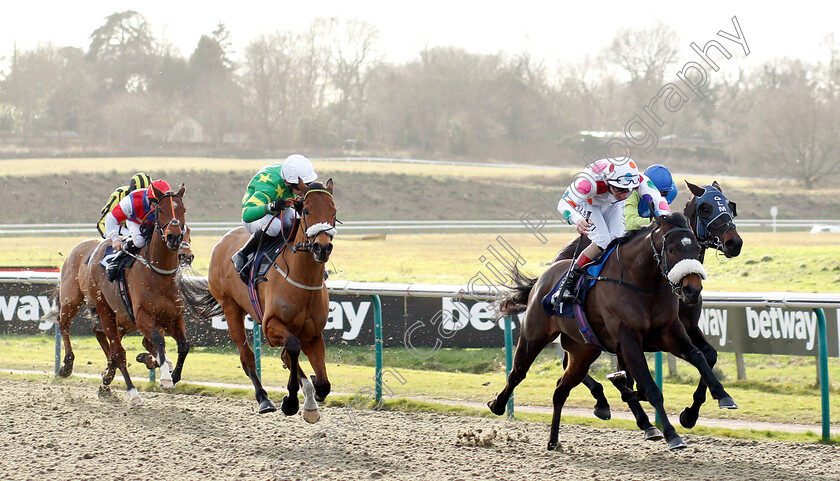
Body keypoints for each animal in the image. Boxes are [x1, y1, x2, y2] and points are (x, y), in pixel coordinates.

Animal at [55, 184, 189, 404]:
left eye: (183, 210)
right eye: (161, 210)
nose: (174, 237)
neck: (158, 275)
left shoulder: (174, 317)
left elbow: (183, 346)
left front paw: (173, 375)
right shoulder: (144, 318)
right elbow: (159, 342)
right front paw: (165, 377)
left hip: (120, 319)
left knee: (107, 341)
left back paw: (108, 380)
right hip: (84, 303)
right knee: (76, 329)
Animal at [180, 178, 334, 422]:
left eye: (333, 211)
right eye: (307, 210)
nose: (322, 248)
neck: (302, 281)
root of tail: (222, 241)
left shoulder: (313, 334)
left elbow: (323, 384)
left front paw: (311, 397)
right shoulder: (270, 326)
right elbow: (292, 347)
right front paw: (291, 401)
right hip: (231, 308)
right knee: (248, 358)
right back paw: (264, 399)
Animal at [488, 212, 740, 448]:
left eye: (696, 248)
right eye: (671, 249)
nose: (692, 289)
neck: (642, 283)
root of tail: (544, 276)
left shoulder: (669, 332)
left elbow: (700, 357)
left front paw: (721, 396)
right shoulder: (628, 340)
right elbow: (650, 388)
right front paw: (671, 434)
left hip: (583, 352)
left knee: (561, 389)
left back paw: (554, 440)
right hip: (534, 336)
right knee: (517, 372)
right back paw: (497, 405)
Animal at [556, 180, 744, 436]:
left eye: (729, 206)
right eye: (706, 209)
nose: (734, 242)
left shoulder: (686, 327)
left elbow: (709, 355)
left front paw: (692, 413)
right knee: (572, 364)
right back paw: (608, 404)